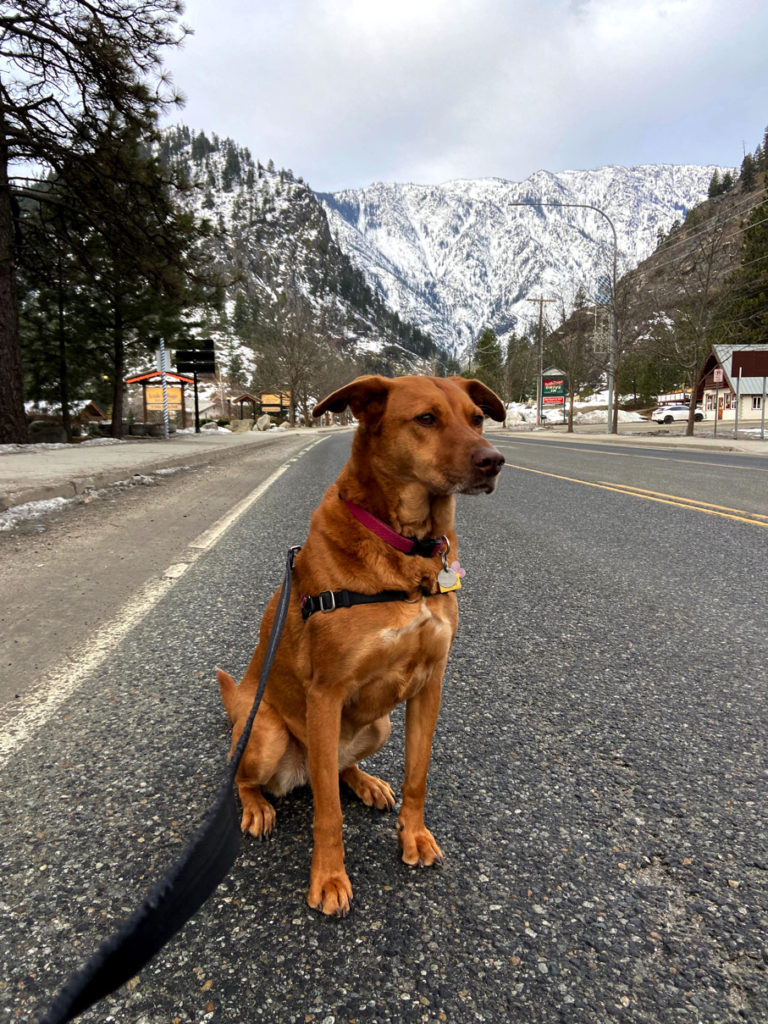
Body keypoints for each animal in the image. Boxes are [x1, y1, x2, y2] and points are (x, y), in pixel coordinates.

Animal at [218, 372, 505, 917]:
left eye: (477, 418)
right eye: (426, 418)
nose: (494, 461)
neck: (406, 548)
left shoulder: (429, 686)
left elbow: (418, 776)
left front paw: (413, 836)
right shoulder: (326, 694)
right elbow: (327, 812)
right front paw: (329, 877)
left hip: (379, 726)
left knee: (339, 767)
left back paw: (366, 782)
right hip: (267, 736)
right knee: (250, 777)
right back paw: (257, 806)